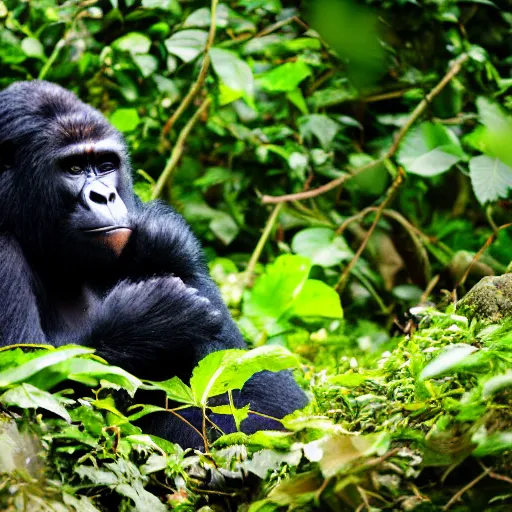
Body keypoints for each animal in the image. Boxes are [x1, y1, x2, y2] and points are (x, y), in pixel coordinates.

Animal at [0, 81, 306, 448]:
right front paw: (147, 324)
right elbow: (27, 387)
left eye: (105, 165)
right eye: (73, 168)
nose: (105, 196)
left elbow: (232, 374)